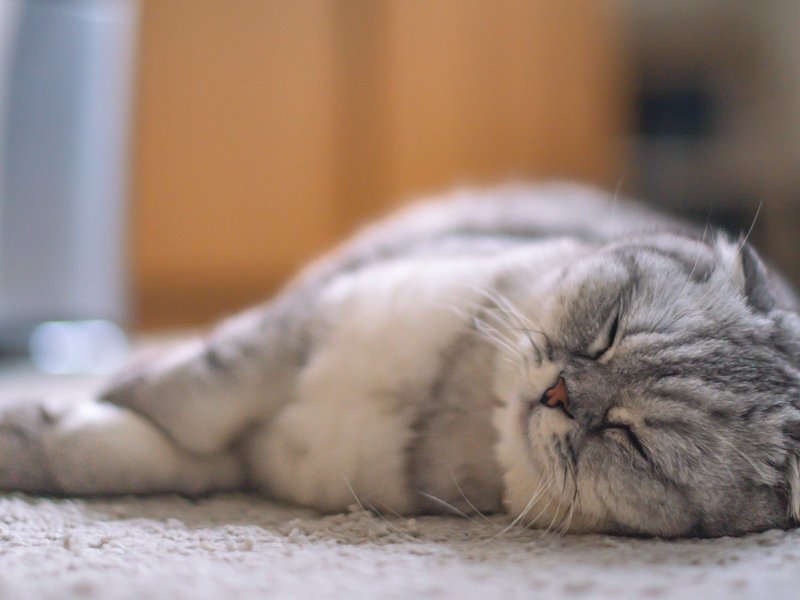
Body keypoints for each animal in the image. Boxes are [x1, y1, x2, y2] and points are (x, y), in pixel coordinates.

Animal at [1, 183, 800, 540]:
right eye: (607, 331)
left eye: (629, 437)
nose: (559, 394)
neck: (439, 398)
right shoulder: (287, 333)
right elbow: (187, 402)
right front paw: (72, 411)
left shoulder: (250, 456)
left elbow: (154, 453)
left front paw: (42, 433)